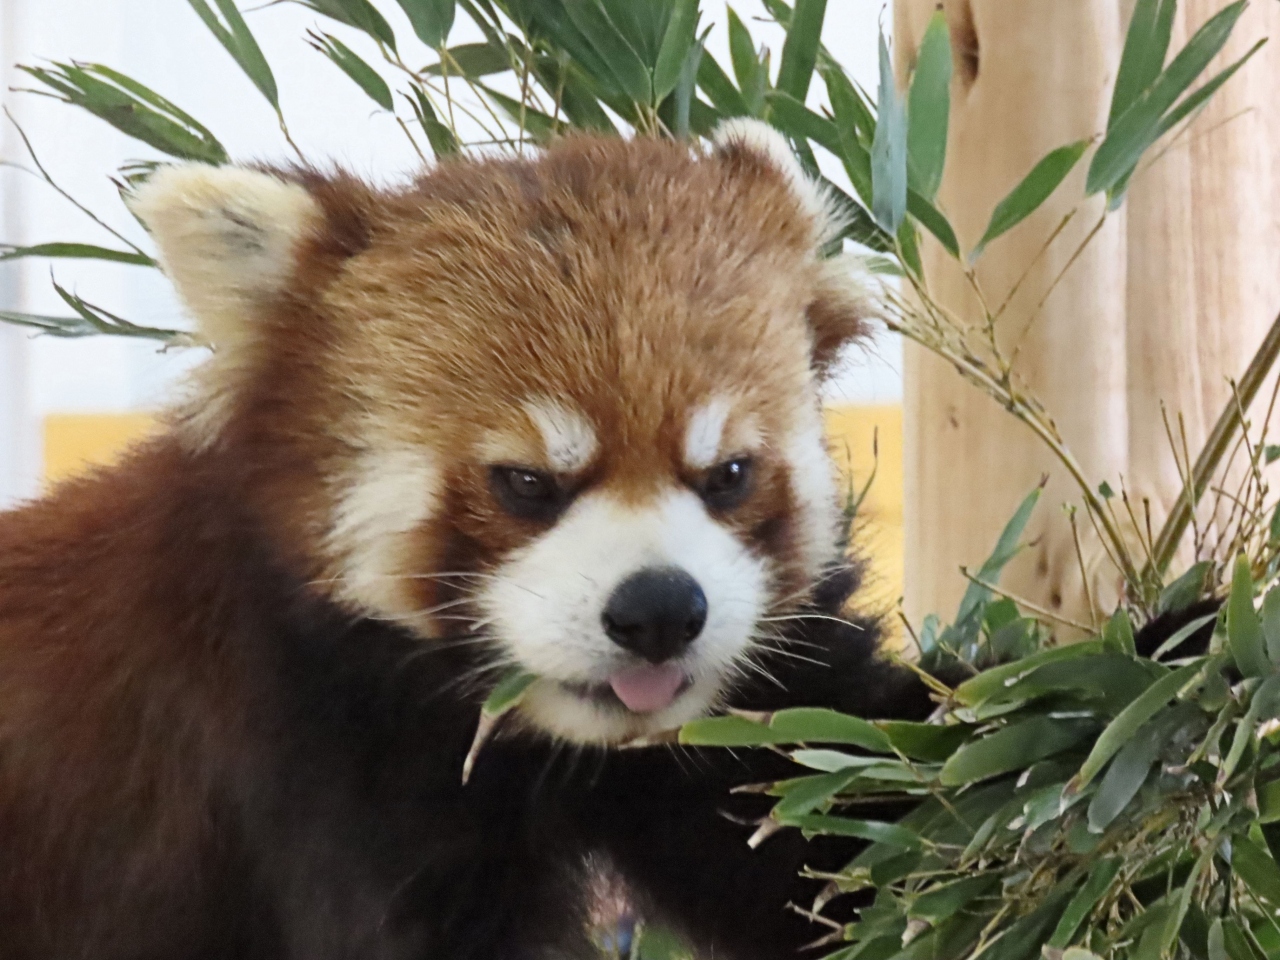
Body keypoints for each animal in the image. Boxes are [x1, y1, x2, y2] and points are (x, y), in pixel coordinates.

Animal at [0, 122, 942, 960]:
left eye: (730, 473)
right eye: (525, 483)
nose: (660, 611)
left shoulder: (730, 725)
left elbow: (843, 830)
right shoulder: (305, 764)